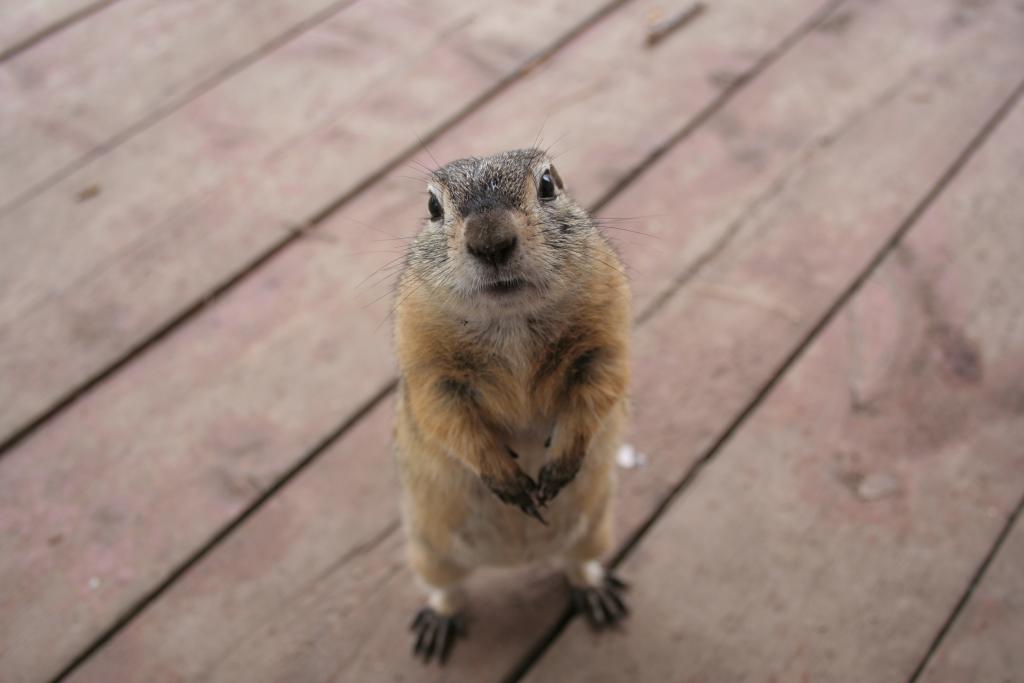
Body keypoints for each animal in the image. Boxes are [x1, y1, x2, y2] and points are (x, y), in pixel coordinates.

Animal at [393, 148, 626, 663]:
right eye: (433, 206)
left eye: (548, 184)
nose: (490, 241)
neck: (510, 320)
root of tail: (521, 559)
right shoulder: (430, 371)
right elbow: (449, 420)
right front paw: (507, 479)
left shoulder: (604, 341)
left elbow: (598, 391)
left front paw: (559, 467)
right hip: (427, 551)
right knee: (448, 589)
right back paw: (439, 620)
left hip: (597, 529)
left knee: (578, 563)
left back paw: (596, 590)